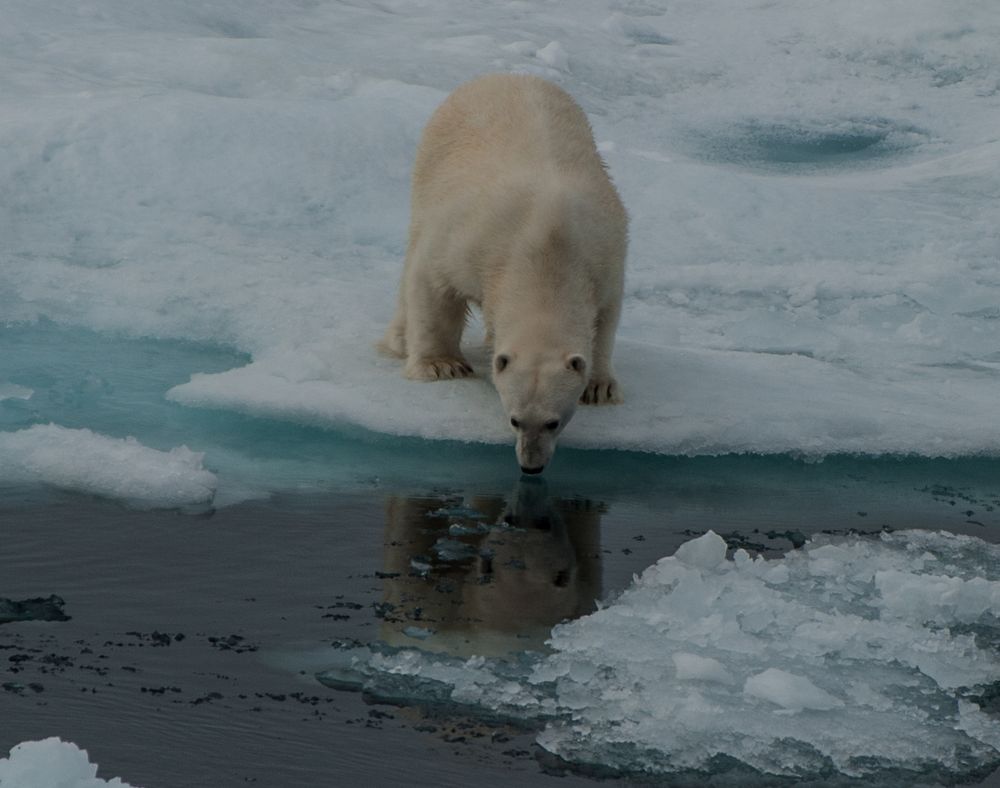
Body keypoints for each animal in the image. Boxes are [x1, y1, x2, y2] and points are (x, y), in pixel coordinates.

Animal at [380, 74, 624, 470]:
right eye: (514, 419)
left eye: (554, 421)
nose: (530, 465)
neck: (547, 245)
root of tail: (507, 76)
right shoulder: (474, 238)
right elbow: (433, 280)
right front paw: (441, 366)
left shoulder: (605, 257)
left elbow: (605, 321)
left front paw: (600, 387)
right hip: (433, 160)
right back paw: (400, 340)